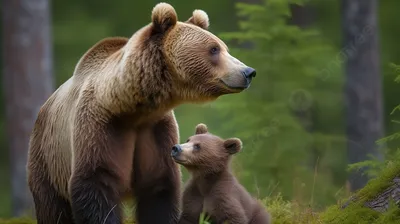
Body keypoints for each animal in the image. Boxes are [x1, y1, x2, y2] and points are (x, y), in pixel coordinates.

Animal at [26, 2, 256, 224]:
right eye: (214, 49)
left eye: (223, 47)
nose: (248, 72)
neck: (130, 108)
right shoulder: (99, 126)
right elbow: (96, 182)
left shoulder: (155, 131)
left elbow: (159, 188)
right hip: (48, 160)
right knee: (52, 208)